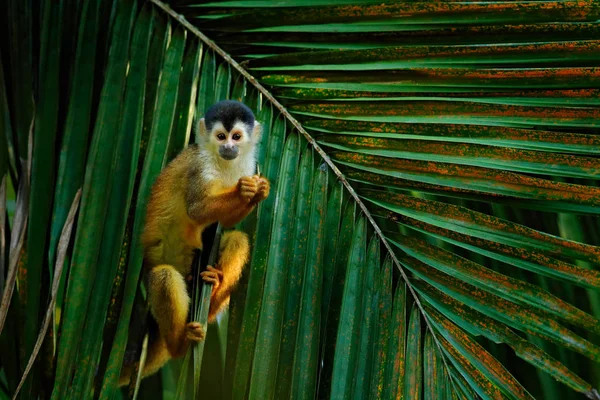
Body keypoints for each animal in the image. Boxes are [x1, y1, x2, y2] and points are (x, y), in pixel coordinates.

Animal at [119, 101, 270, 388]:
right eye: (221, 136)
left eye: (236, 137)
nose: (229, 148)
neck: (221, 161)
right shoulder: (199, 166)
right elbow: (197, 210)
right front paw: (242, 191)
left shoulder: (246, 164)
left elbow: (226, 221)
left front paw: (259, 192)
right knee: (164, 276)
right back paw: (179, 344)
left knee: (237, 239)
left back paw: (215, 289)